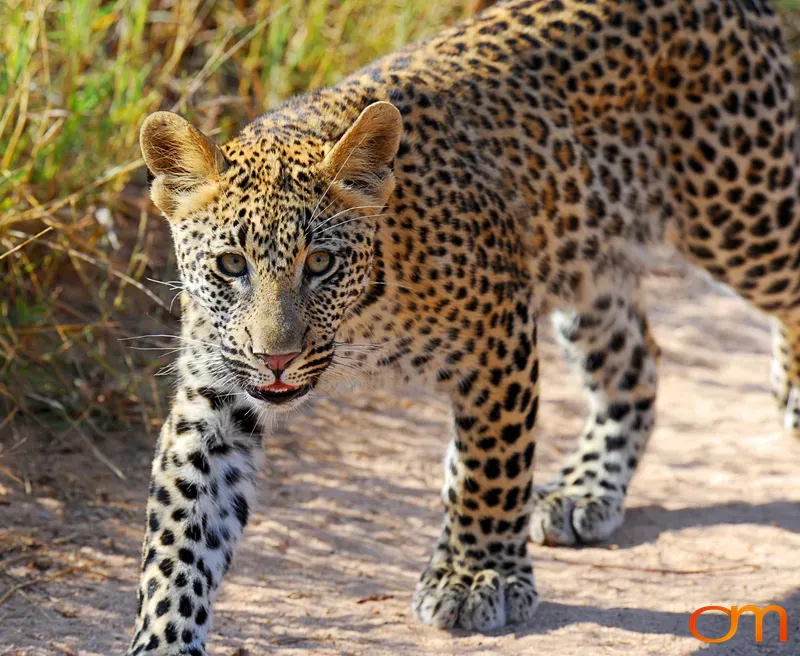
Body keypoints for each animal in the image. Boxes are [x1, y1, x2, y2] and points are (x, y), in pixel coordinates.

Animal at [127, 0, 800, 652]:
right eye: (230, 264)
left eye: (319, 263)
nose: (277, 359)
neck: (360, 321)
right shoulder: (215, 396)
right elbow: (181, 536)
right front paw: (163, 639)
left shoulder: (499, 337)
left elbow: (491, 468)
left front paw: (476, 576)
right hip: (588, 259)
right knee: (636, 367)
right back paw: (586, 488)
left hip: (742, 212)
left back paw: (792, 395)